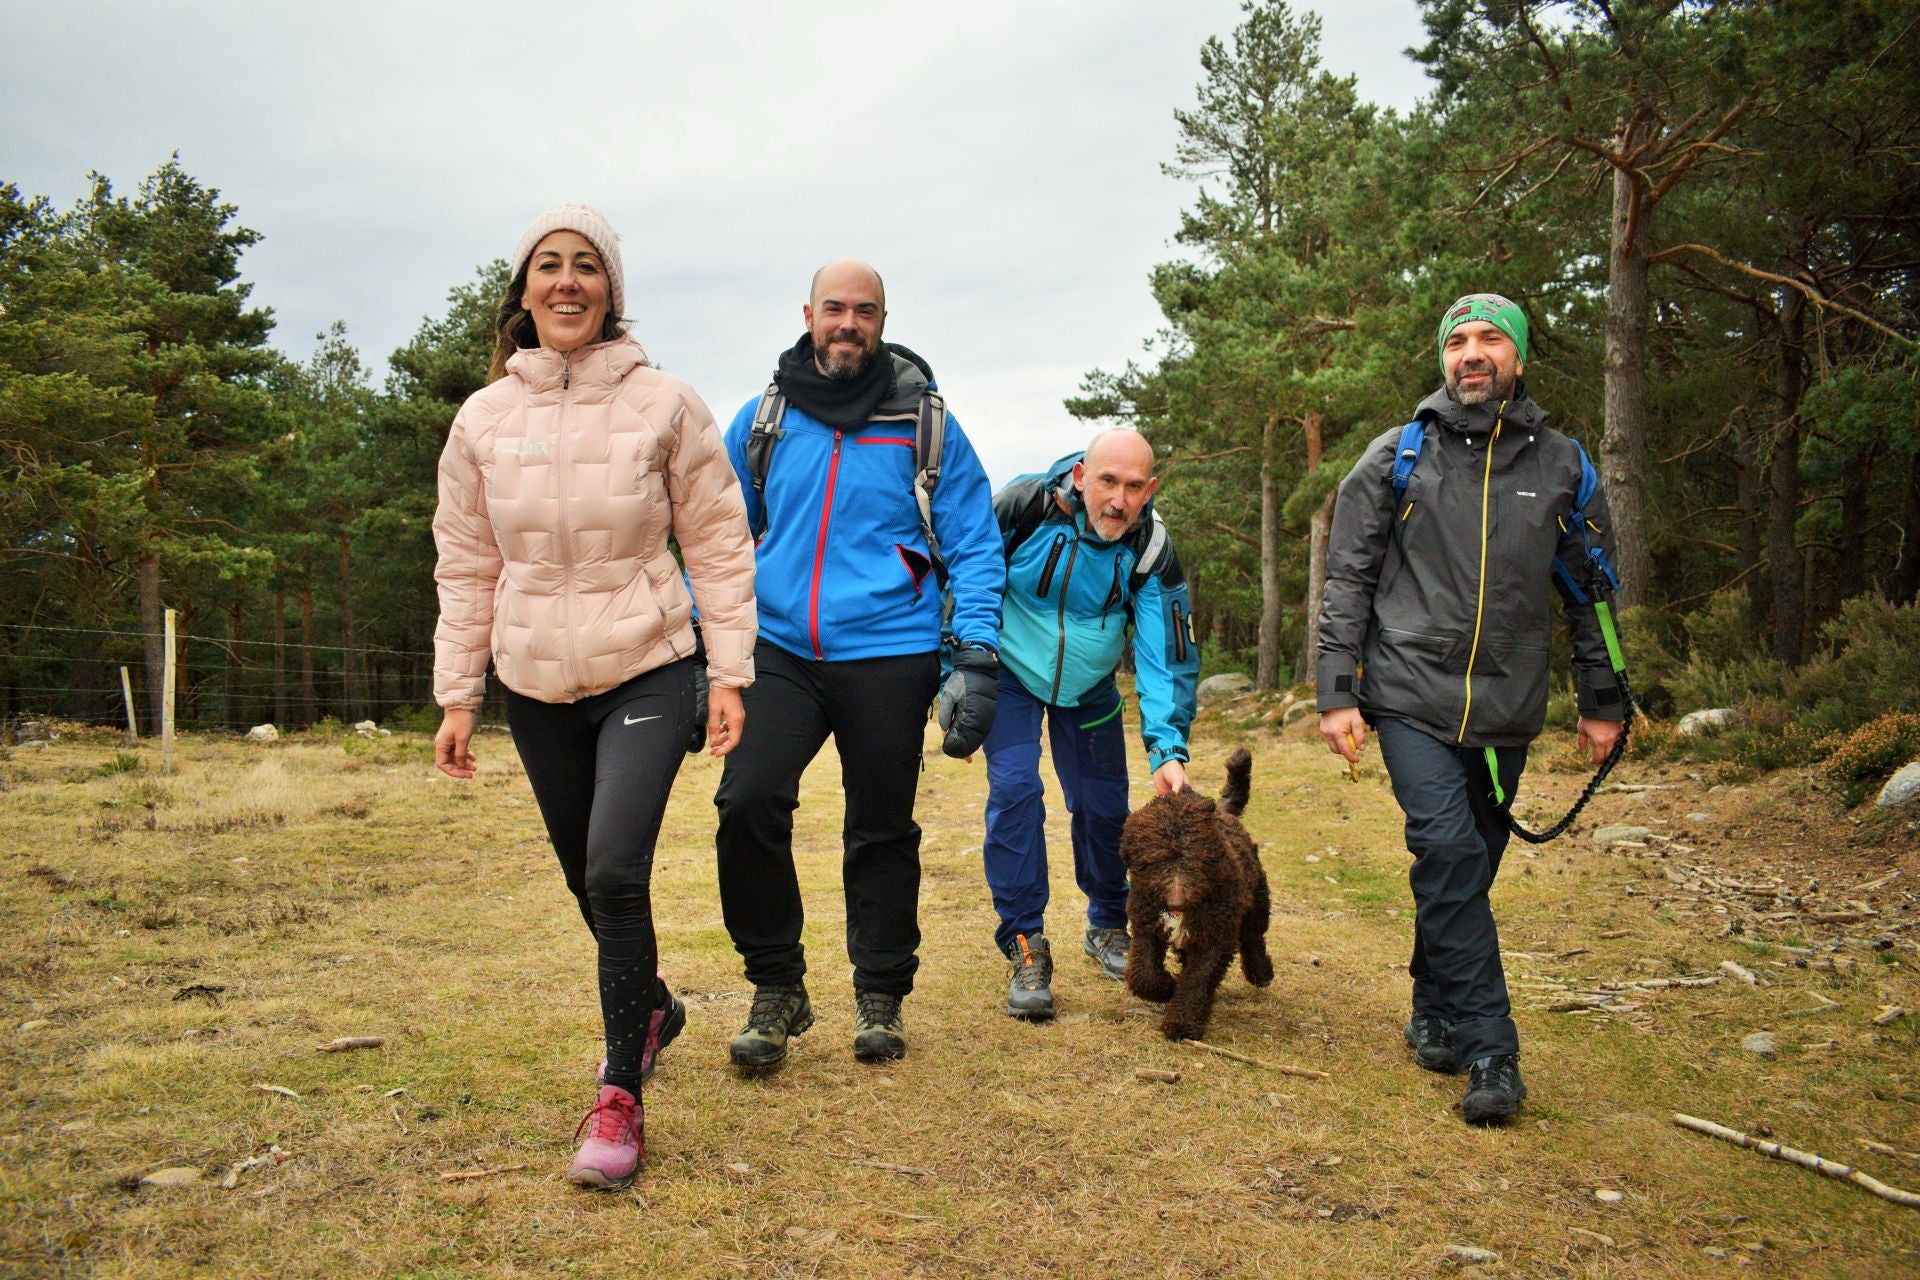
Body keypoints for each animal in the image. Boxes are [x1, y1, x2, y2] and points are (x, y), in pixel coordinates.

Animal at [1121, 752, 1267, 1043]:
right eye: (1157, 859)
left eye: (1196, 859)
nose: (1176, 903)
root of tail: (1224, 813)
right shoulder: (1146, 927)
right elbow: (1143, 975)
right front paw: (1167, 987)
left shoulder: (1215, 939)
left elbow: (1197, 981)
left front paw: (1182, 1025)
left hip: (1257, 900)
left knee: (1253, 936)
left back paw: (1261, 972)